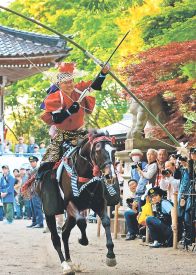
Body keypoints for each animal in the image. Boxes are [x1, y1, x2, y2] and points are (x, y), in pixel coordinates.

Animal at [40, 132, 118, 275]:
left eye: (113, 151)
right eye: (98, 150)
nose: (110, 175)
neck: (85, 174)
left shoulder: (99, 203)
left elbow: (106, 222)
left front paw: (111, 255)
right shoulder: (69, 203)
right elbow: (82, 221)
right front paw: (83, 240)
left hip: (71, 215)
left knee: (65, 232)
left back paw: (69, 261)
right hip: (49, 213)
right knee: (56, 238)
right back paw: (65, 265)